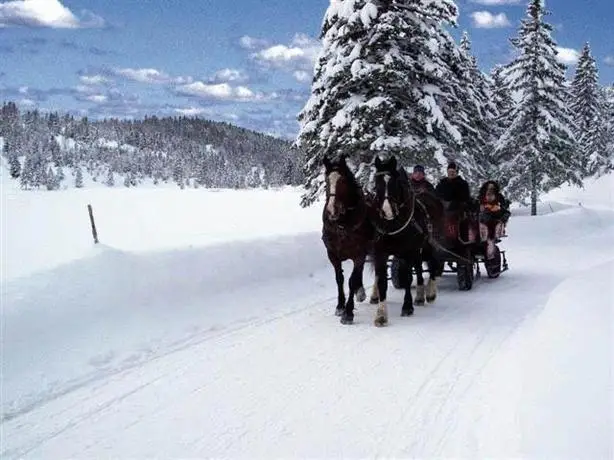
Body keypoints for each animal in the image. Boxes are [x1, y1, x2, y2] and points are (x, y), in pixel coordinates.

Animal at [322, 155, 376, 324]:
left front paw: (348, 312)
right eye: (326, 181)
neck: (342, 225)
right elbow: (339, 279)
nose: (331, 210)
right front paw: (340, 306)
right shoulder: (332, 254)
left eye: (343, 181)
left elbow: (351, 281)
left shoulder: (359, 254)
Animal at [368, 156, 446, 326]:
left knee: (433, 264)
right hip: (417, 250)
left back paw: (430, 292)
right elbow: (382, 281)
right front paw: (381, 315)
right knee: (419, 268)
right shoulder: (381, 253)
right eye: (377, 183)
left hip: (428, 244)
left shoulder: (407, 252)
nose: (387, 210)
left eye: (394, 183)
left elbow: (407, 277)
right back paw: (420, 296)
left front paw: (407, 307)